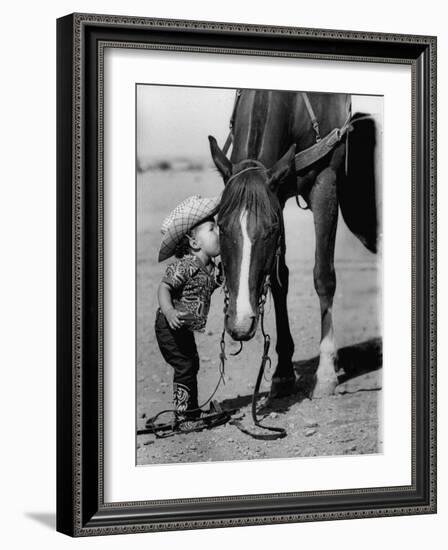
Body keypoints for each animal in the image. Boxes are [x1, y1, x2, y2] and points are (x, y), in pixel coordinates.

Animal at [208, 91, 376, 402]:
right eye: (221, 225)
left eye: (270, 229)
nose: (240, 323)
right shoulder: (279, 195)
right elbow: (278, 279)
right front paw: (283, 372)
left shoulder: (325, 182)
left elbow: (324, 277)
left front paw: (325, 375)